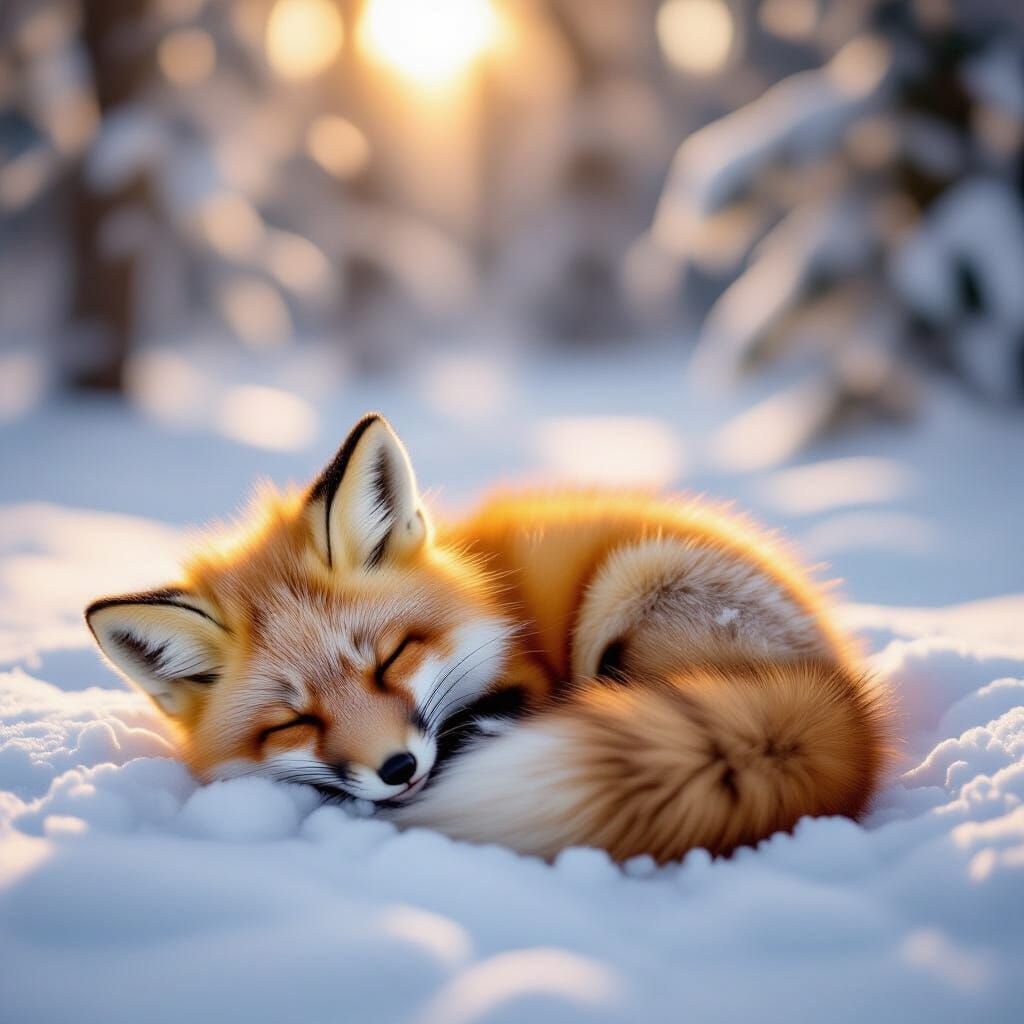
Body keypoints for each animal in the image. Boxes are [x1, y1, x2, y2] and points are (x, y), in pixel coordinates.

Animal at [86, 413, 891, 863]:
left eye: (392, 659)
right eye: (293, 721)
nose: (398, 769)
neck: (484, 588)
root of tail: (845, 697)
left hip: (629, 582)